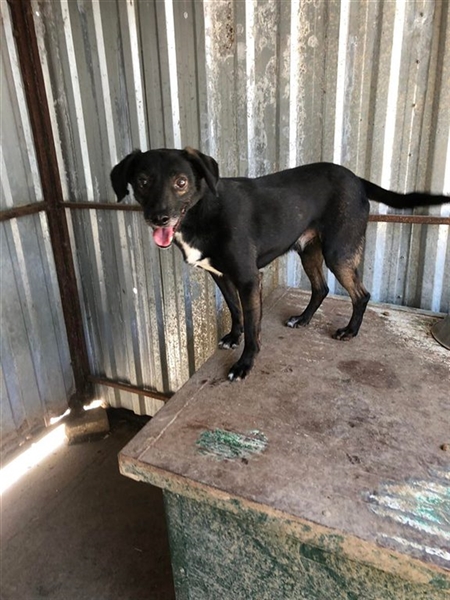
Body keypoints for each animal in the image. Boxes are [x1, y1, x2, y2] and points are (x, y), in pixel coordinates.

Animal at [111, 147, 447, 381]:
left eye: (181, 182)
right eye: (142, 182)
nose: (159, 217)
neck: (203, 210)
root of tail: (355, 178)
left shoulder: (249, 279)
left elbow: (254, 327)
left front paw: (244, 364)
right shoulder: (221, 276)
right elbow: (235, 310)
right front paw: (233, 336)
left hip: (339, 252)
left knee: (361, 294)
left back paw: (349, 331)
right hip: (308, 249)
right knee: (321, 288)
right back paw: (303, 319)